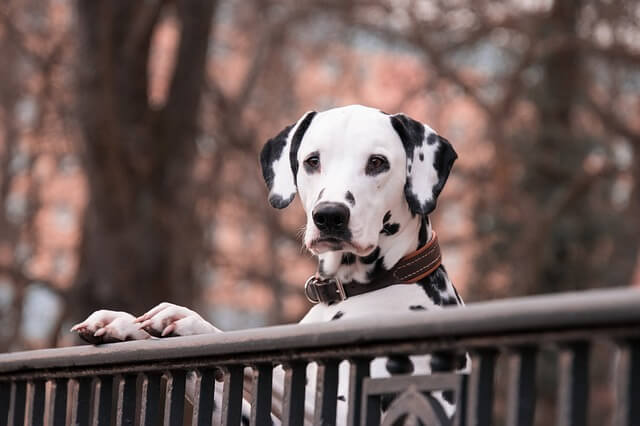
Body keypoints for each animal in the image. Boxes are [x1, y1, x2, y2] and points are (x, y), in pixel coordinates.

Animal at [72, 105, 468, 424]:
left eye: (377, 162)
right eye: (312, 160)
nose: (330, 216)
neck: (349, 292)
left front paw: (190, 322)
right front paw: (125, 324)